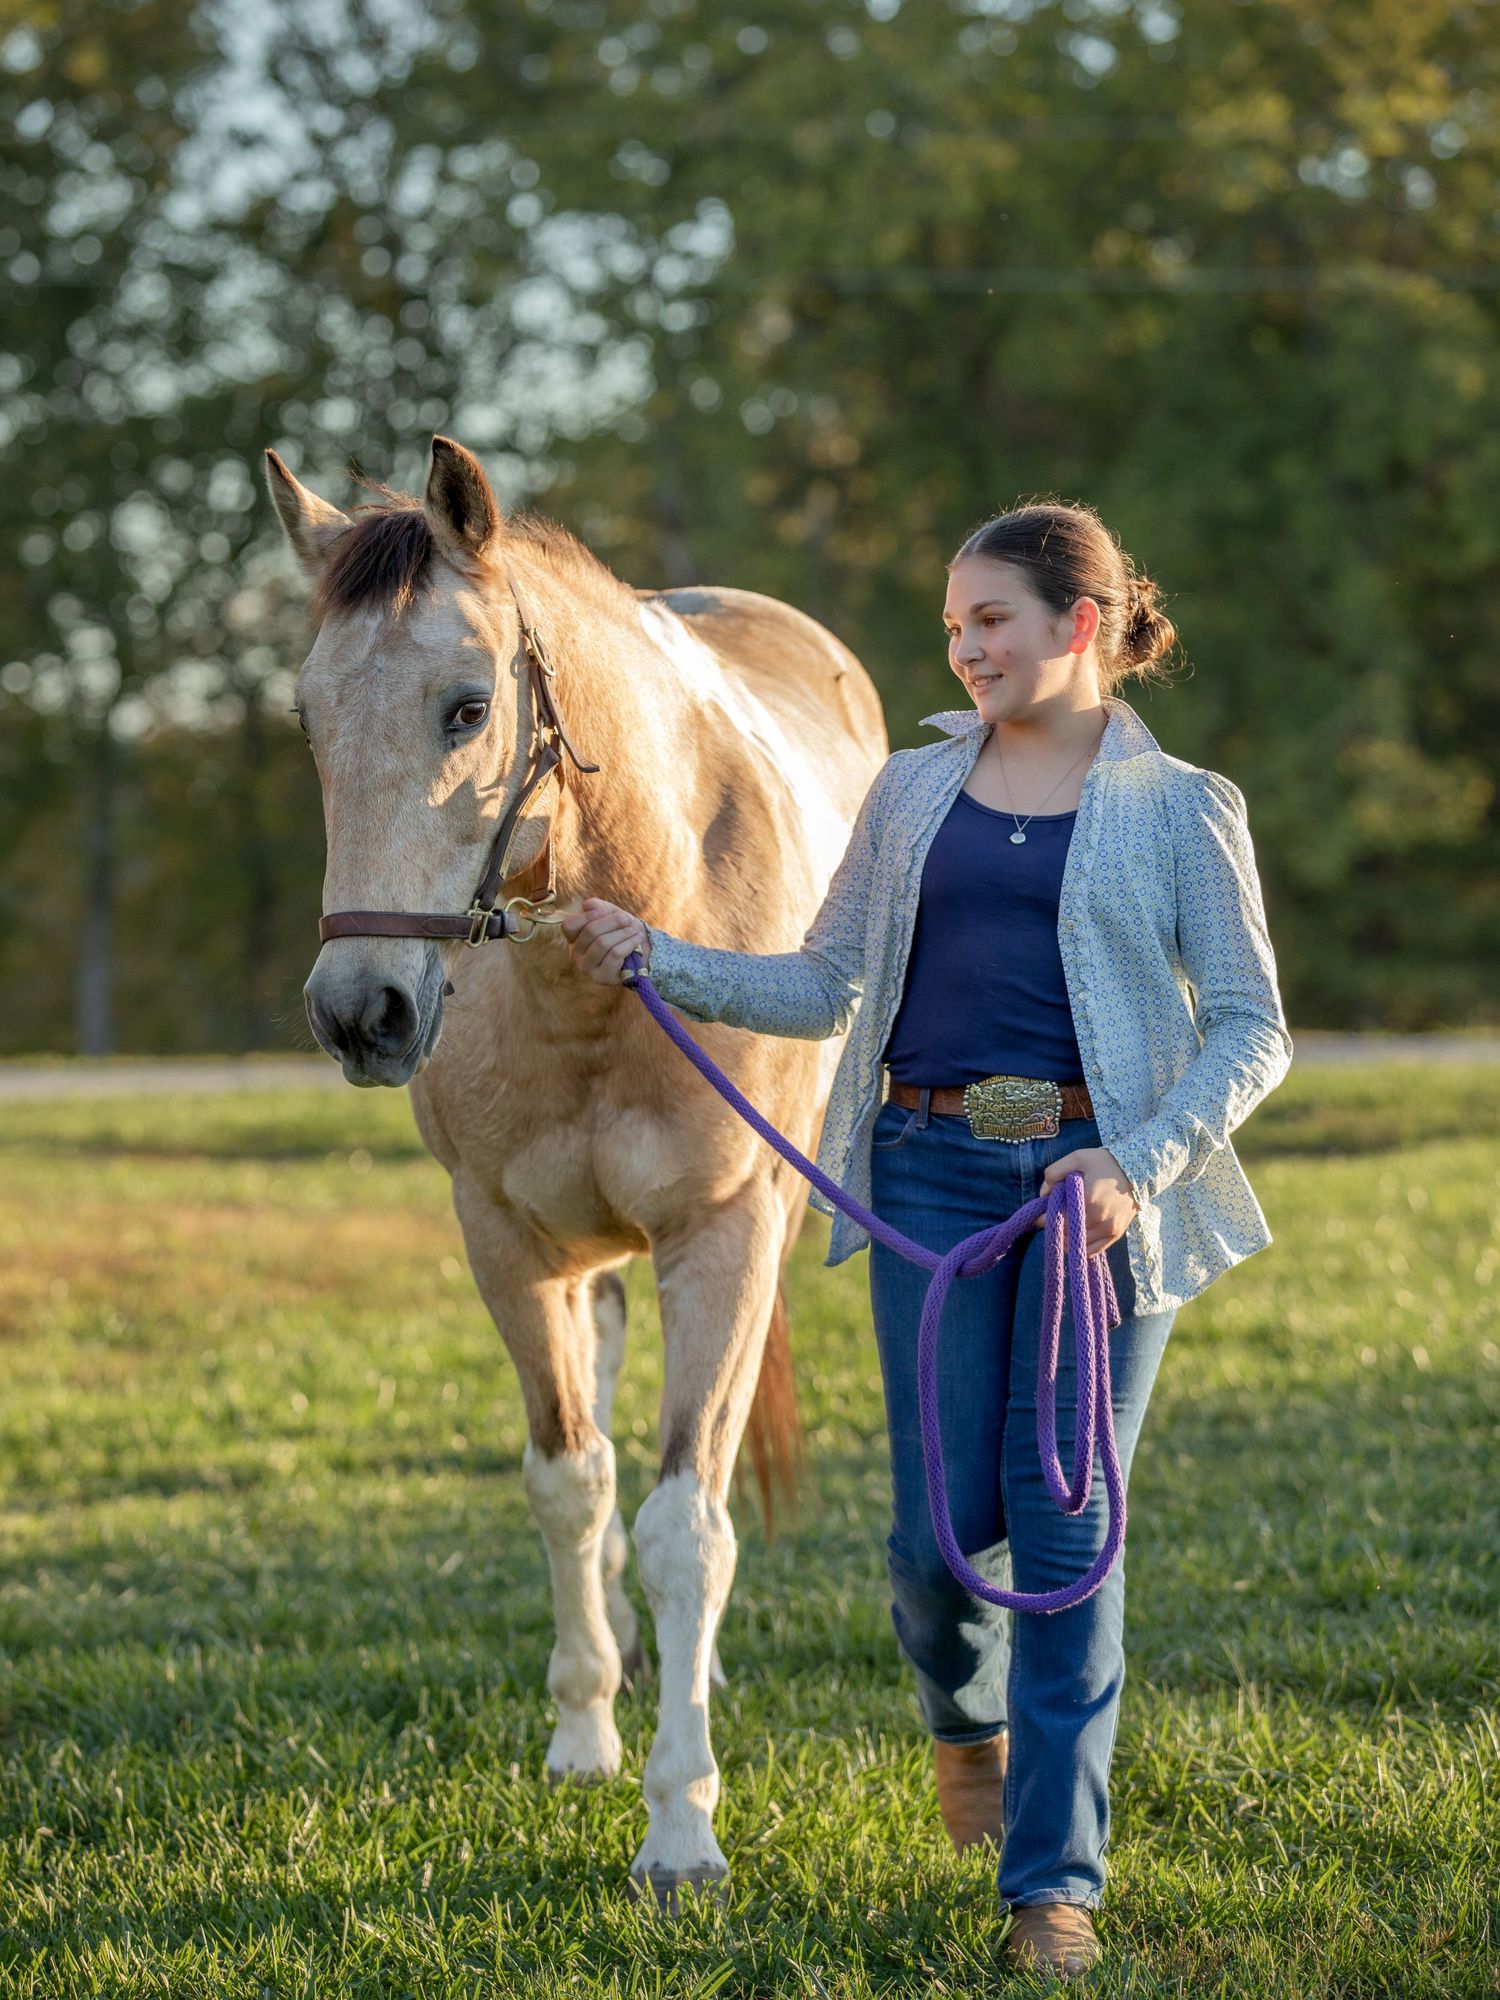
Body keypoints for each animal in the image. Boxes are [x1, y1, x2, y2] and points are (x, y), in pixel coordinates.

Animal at [263, 434, 888, 1907]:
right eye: (309, 722)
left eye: (466, 707)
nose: (361, 1012)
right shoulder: (508, 1243)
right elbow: (571, 1484)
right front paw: (588, 1736)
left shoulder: (724, 1237)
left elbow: (685, 1524)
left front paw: (682, 1824)